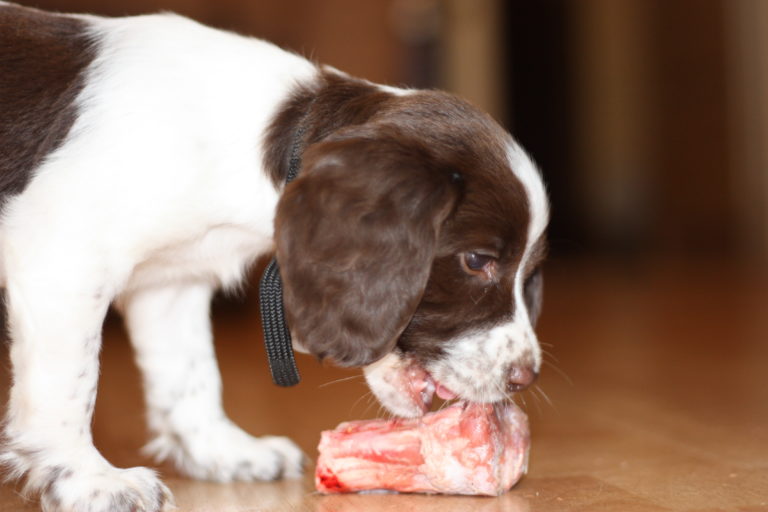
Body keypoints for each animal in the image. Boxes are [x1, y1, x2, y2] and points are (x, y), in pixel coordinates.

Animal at [3, 2, 548, 510]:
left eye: (529, 274)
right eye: (477, 261)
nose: (525, 378)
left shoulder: (170, 284)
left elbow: (190, 373)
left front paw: (221, 452)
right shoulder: (64, 263)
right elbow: (71, 385)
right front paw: (89, 480)